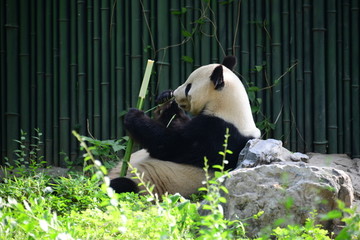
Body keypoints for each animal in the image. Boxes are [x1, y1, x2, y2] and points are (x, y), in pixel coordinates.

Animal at [108, 56, 260, 199]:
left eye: (188, 87)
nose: (174, 94)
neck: (228, 108)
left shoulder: (217, 134)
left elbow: (170, 145)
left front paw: (133, 116)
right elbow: (177, 123)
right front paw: (166, 100)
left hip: (146, 185)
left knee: (121, 186)